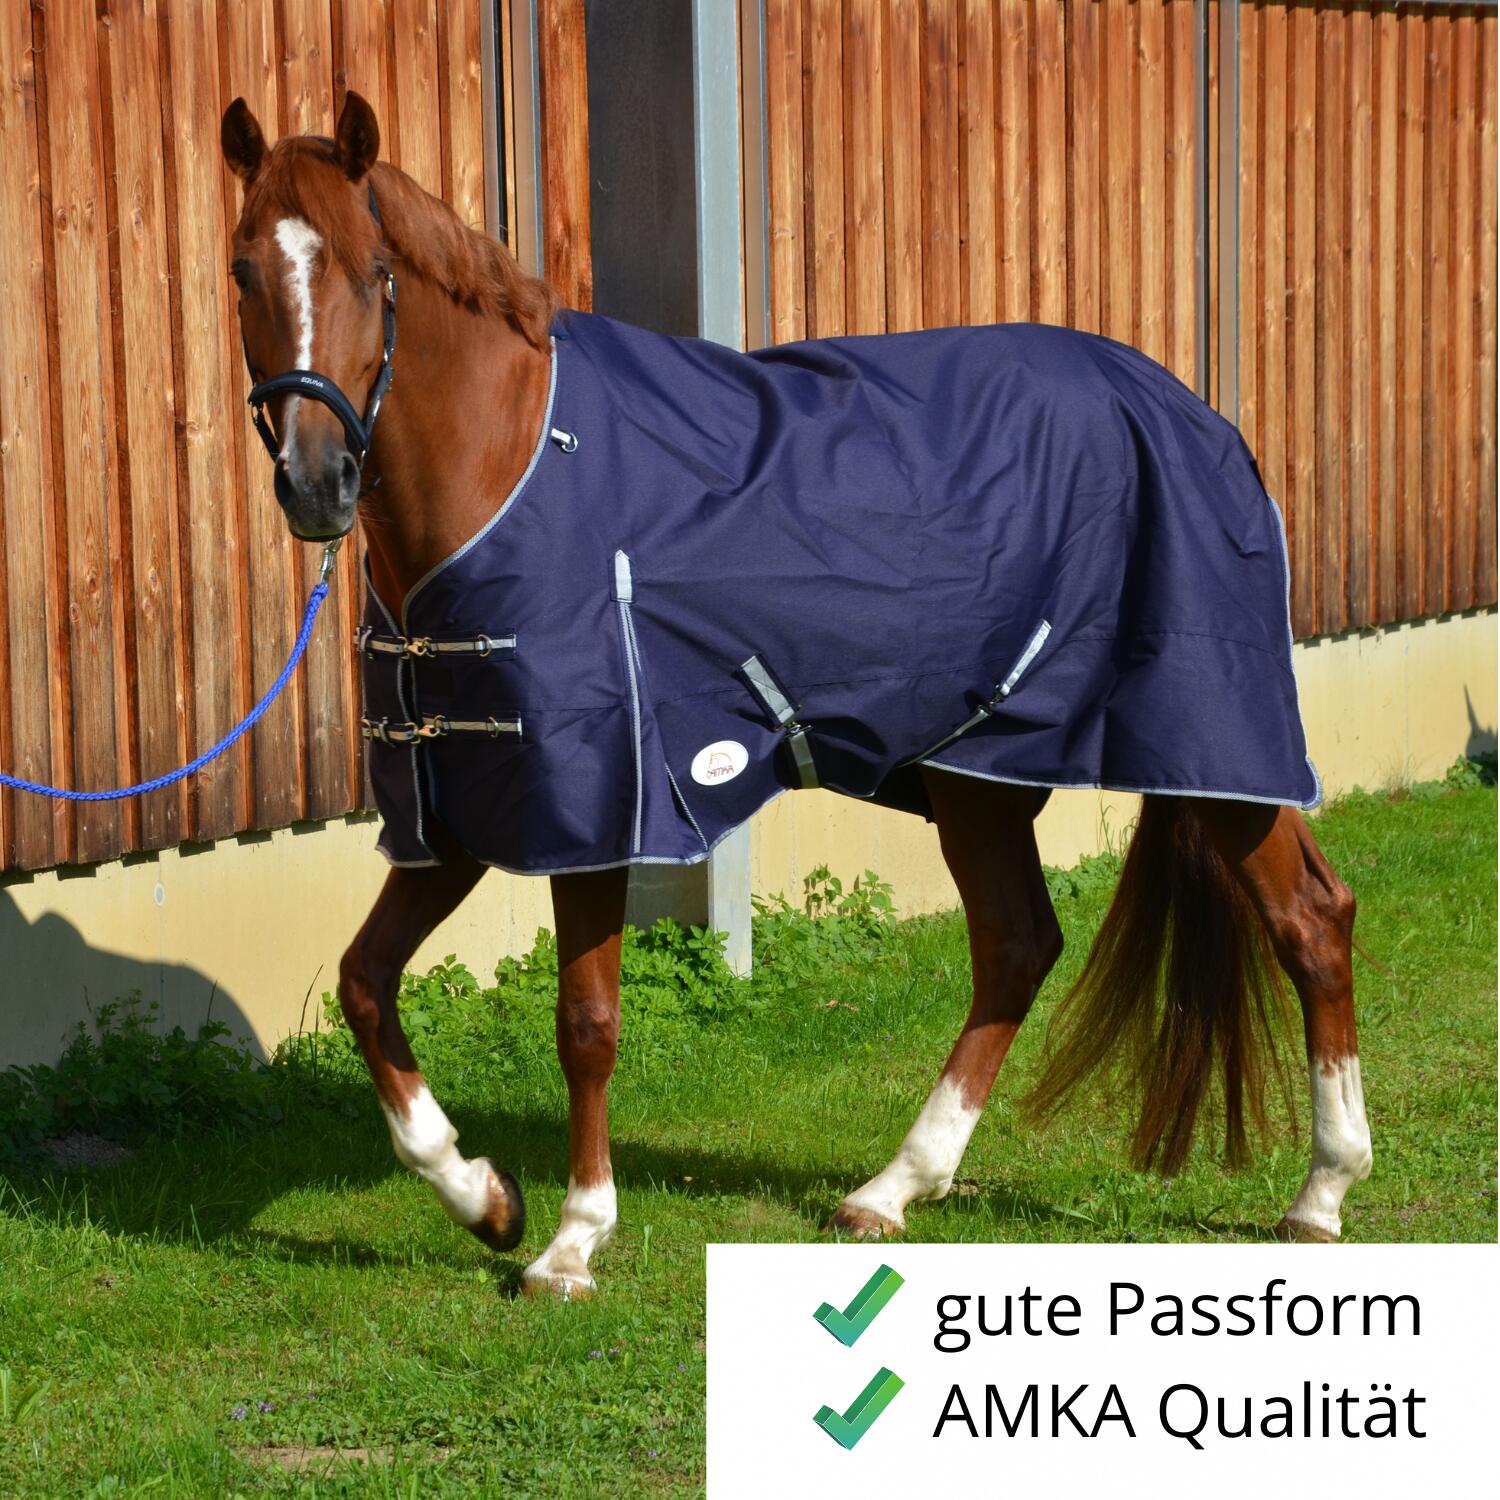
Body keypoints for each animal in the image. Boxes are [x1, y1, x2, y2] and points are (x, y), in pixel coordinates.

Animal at [220, 92, 1371, 1298]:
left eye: (370, 272)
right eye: (245, 269)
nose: (315, 484)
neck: (514, 467)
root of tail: (1194, 415)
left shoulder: (596, 805)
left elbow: (585, 1021)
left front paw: (573, 1239)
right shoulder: (468, 806)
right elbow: (363, 983)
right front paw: (483, 1196)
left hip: (1208, 745)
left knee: (1311, 921)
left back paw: (1322, 1194)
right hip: (981, 770)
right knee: (1018, 945)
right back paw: (894, 1188)